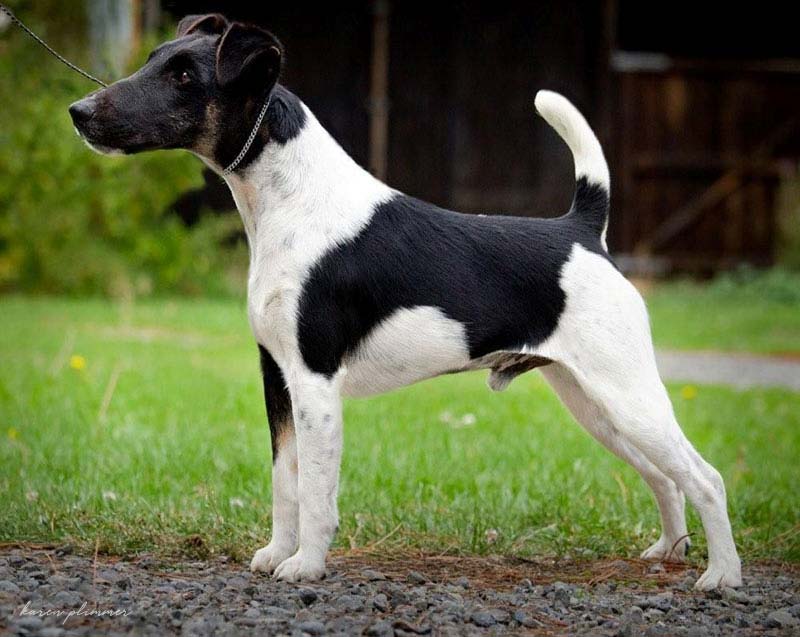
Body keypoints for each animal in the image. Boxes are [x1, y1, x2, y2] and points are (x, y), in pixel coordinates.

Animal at [69, 14, 744, 588]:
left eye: (185, 76)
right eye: (155, 59)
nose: (78, 111)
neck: (293, 201)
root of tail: (582, 230)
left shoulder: (314, 382)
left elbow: (316, 492)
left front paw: (306, 565)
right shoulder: (277, 378)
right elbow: (285, 482)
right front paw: (275, 554)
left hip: (626, 394)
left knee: (705, 477)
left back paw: (722, 576)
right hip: (593, 402)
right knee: (664, 477)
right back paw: (668, 551)